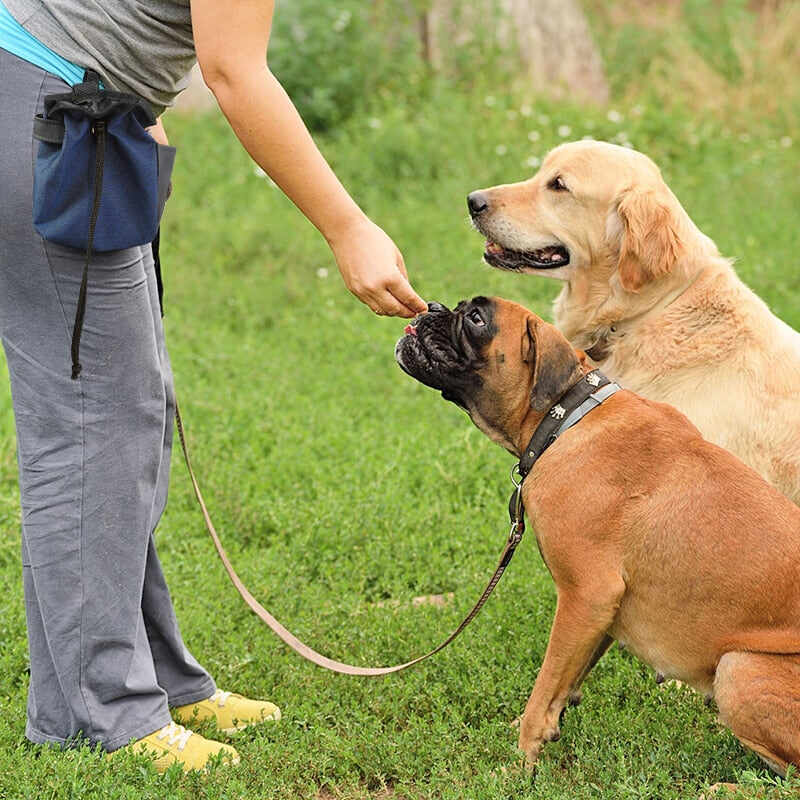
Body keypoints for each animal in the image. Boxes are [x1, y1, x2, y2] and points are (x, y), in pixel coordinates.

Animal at [396, 296, 800, 776]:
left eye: (476, 319)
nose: (433, 307)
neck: (567, 417)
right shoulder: (600, 611)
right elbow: (562, 682)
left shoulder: (585, 594)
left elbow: (546, 680)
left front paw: (519, 763)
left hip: (739, 670)